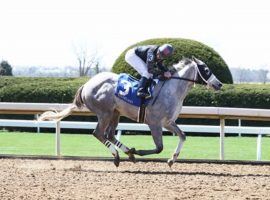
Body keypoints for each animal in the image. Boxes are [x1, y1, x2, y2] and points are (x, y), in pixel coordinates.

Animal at [39, 56, 223, 167]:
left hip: (115, 113)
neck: (171, 89)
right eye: (206, 69)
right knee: (98, 133)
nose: (219, 84)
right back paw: (119, 156)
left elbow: (183, 136)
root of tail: (87, 84)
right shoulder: (155, 123)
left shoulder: (168, 122)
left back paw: (128, 153)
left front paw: (172, 159)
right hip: (105, 113)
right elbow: (159, 147)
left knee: (109, 134)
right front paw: (140, 151)